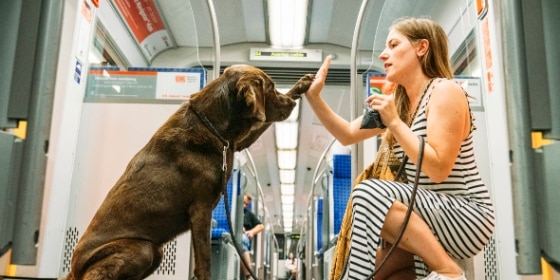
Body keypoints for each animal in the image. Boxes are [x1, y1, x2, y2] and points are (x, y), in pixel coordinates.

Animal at [65, 66, 316, 280]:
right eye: (271, 87)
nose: (291, 104)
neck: (211, 125)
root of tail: (73, 268)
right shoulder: (201, 209)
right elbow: (204, 261)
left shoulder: (237, 144)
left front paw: (302, 84)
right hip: (140, 248)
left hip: (155, 252)